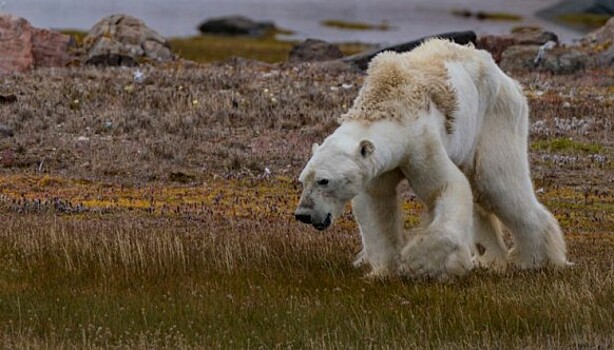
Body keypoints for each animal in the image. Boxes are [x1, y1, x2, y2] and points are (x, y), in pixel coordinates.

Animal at [296, 38, 572, 278]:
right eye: (303, 180)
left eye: (324, 180)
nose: (303, 215)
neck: (387, 103)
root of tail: (510, 81)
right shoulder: (379, 167)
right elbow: (376, 204)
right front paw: (382, 271)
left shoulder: (420, 142)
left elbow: (446, 187)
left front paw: (418, 261)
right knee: (480, 195)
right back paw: (490, 260)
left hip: (495, 118)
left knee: (497, 184)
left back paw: (536, 260)